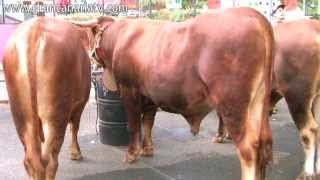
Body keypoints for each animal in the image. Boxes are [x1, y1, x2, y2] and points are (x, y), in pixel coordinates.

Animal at [2, 17, 91, 180]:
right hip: (56, 112)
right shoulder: (80, 103)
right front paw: (75, 153)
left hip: (21, 114)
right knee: (49, 159)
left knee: (32, 158)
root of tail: (35, 29)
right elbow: (75, 127)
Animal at [75, 6, 276, 179]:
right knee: (263, 144)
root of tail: (253, 15)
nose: (91, 57)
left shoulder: (129, 88)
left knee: (248, 149)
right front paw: (148, 149)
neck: (119, 38)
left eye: (91, 34)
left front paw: (132, 154)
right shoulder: (149, 93)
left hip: (233, 106)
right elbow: (148, 122)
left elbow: (134, 124)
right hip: (258, 102)